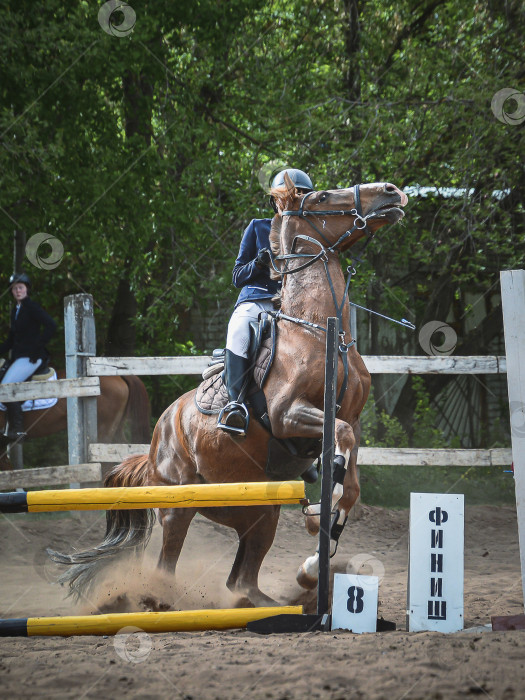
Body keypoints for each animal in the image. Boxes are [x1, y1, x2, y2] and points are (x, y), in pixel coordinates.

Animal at [49, 178, 408, 604]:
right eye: (321, 198)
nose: (391, 191)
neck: (321, 332)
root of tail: (155, 442)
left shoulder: (346, 417)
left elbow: (350, 477)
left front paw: (315, 550)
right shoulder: (288, 415)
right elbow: (340, 438)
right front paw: (319, 515)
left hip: (260, 511)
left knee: (241, 581)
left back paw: (282, 594)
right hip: (179, 506)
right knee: (165, 568)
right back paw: (157, 600)